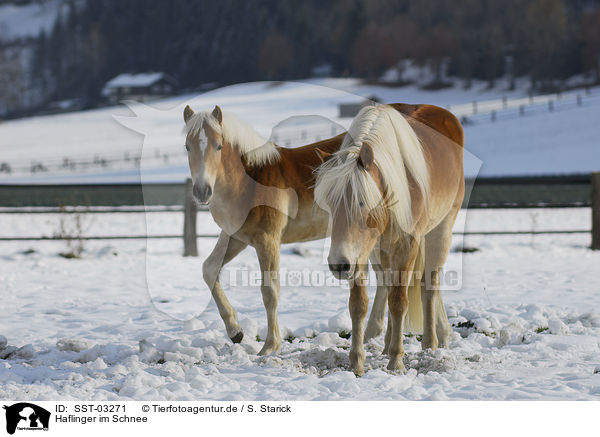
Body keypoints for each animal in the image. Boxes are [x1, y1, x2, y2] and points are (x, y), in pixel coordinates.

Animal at [314, 103, 464, 374]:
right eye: (330, 205)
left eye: (362, 203)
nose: (338, 265)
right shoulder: (360, 253)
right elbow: (358, 304)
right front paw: (357, 362)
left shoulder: (407, 245)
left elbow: (399, 302)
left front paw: (396, 361)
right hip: (380, 251)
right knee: (387, 282)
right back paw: (385, 345)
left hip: (440, 232)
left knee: (428, 286)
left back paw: (430, 343)